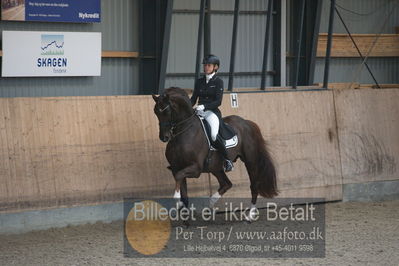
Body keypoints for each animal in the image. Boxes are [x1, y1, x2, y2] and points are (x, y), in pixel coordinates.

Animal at [153, 87, 278, 218]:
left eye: (166, 112)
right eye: (156, 112)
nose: (164, 137)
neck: (183, 133)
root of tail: (246, 123)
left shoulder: (196, 169)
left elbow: (179, 177)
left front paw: (177, 200)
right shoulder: (176, 167)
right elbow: (182, 188)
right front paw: (182, 209)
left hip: (250, 161)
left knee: (254, 186)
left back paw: (249, 216)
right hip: (216, 167)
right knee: (226, 184)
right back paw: (210, 204)